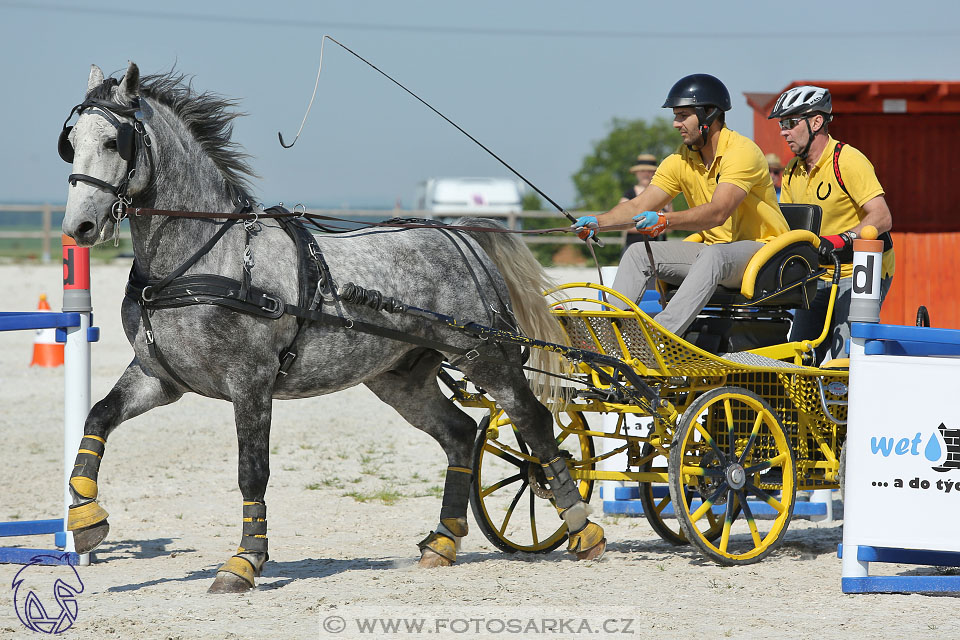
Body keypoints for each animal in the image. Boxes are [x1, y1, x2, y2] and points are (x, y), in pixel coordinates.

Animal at [58, 62, 600, 592]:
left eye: (114, 143)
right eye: (72, 141)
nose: (78, 228)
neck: (202, 258)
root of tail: (459, 234)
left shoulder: (250, 381)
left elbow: (252, 472)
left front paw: (244, 562)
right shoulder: (160, 377)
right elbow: (97, 418)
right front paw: (86, 519)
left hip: (485, 356)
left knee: (533, 422)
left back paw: (581, 528)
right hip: (401, 378)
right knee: (461, 434)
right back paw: (443, 542)